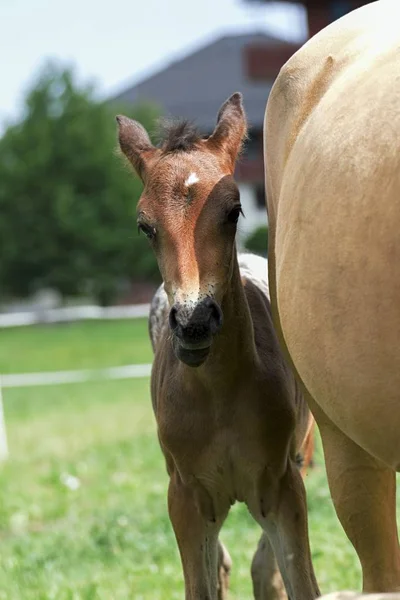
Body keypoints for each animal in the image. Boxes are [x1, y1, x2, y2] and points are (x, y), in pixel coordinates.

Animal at [116, 94, 318, 600]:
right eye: (144, 225)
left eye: (234, 211)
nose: (194, 321)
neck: (219, 394)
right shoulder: (186, 497)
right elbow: (203, 585)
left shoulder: (283, 486)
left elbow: (293, 579)